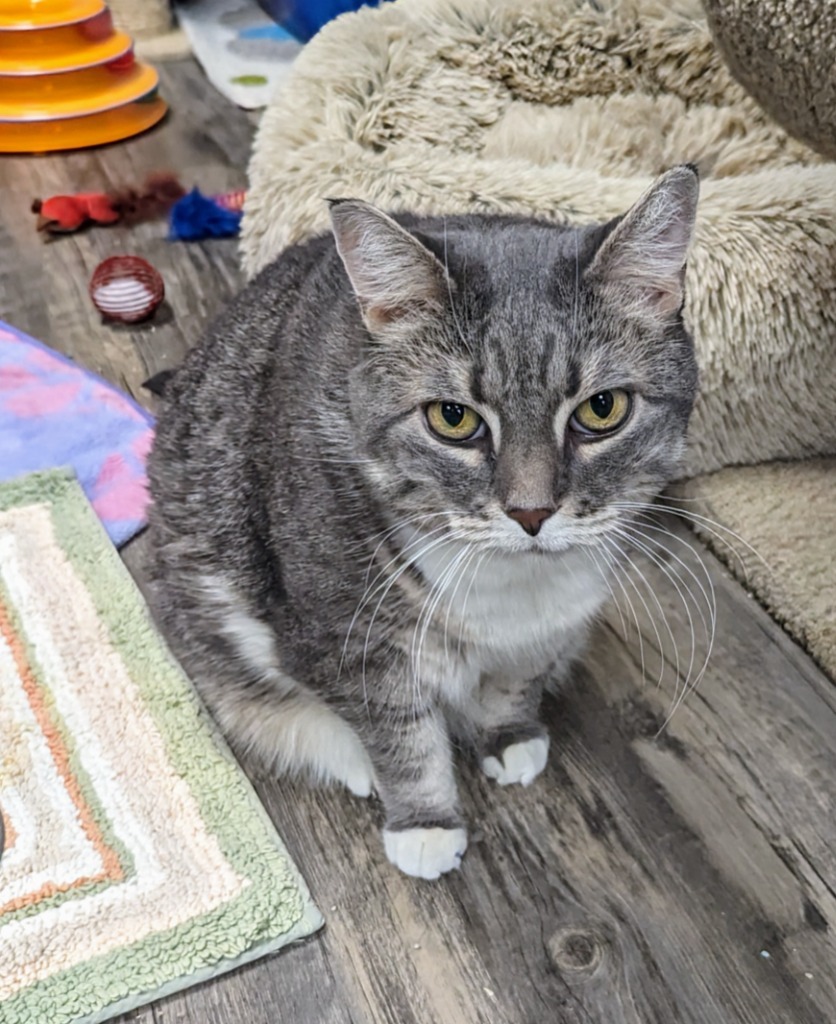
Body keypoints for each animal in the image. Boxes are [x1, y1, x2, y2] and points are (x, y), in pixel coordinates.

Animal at [148, 165, 700, 880]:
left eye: (602, 409)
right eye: (452, 418)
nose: (531, 512)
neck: (508, 585)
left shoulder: (551, 626)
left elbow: (515, 682)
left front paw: (509, 735)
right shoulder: (348, 641)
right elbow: (400, 734)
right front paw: (426, 824)